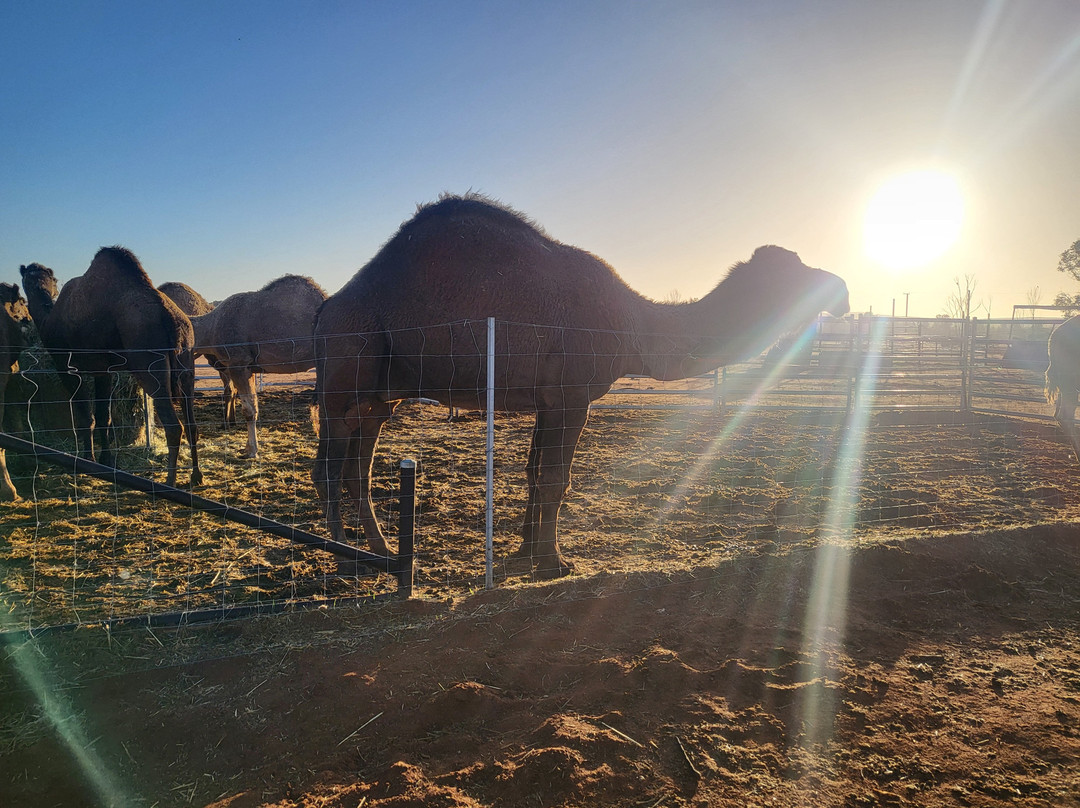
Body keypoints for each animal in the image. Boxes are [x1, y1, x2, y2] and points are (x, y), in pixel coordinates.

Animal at [19, 248, 202, 487]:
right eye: (28, 278)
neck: (48, 319)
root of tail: (173, 320)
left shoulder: (66, 366)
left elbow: (85, 416)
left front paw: (88, 460)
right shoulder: (103, 370)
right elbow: (103, 415)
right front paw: (106, 461)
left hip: (149, 364)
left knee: (174, 426)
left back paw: (169, 483)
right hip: (187, 362)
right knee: (191, 425)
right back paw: (196, 476)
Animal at [189, 275, 327, 458]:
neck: (210, 328)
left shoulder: (238, 364)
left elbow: (249, 409)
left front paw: (252, 452)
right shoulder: (250, 368)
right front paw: (248, 448)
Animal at [312, 193, 850, 578]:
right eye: (794, 271)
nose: (843, 291)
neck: (634, 325)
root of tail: (325, 309)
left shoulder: (546, 400)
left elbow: (534, 472)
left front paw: (525, 551)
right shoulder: (572, 396)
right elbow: (556, 477)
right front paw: (553, 563)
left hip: (378, 394)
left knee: (356, 465)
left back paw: (380, 550)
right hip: (347, 369)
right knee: (330, 470)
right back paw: (342, 559)